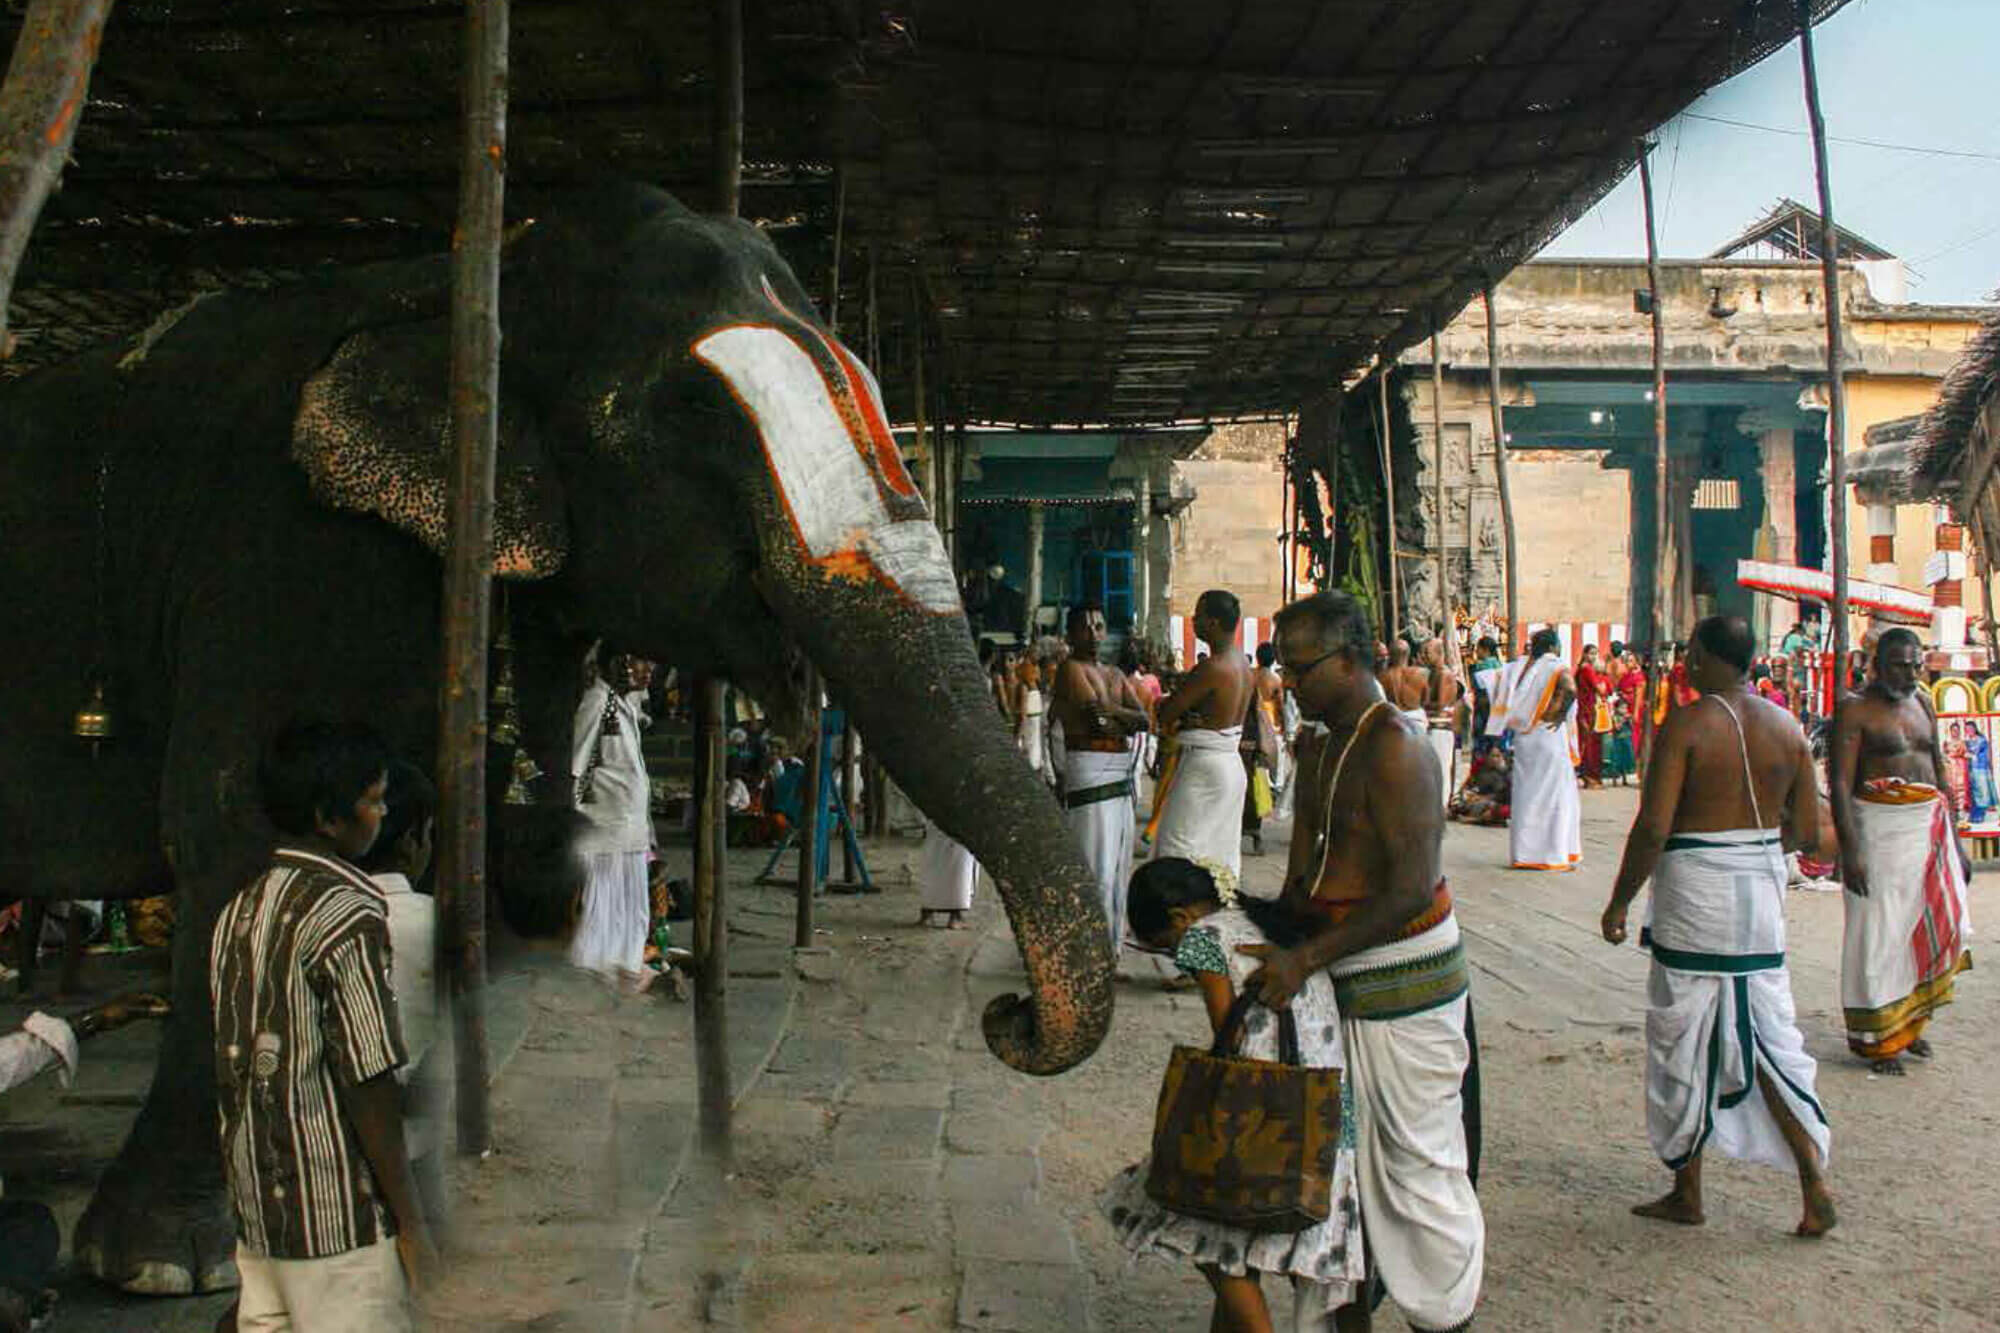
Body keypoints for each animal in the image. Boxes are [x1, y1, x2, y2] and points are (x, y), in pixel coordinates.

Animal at [0, 184, 1120, 1288]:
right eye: (688, 415)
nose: (1009, 1016)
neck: (474, 278)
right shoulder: (272, 554)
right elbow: (234, 838)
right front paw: (166, 1264)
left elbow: (512, 846)